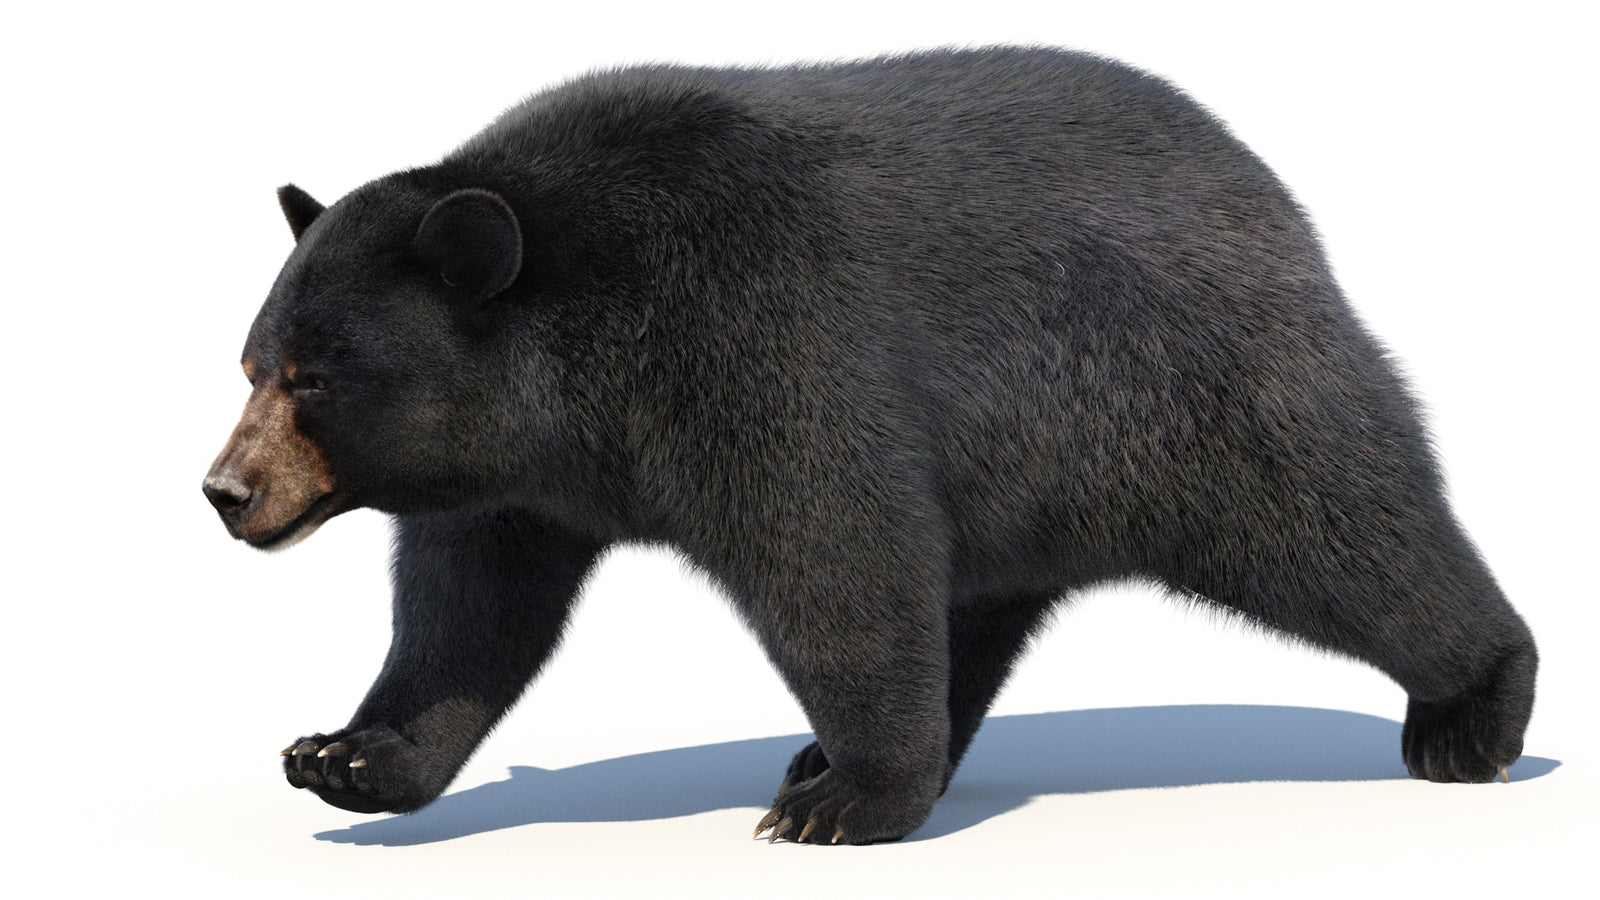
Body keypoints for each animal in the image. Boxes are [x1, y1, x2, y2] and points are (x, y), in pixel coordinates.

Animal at [203, 46, 1537, 845]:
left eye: (318, 378)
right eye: (253, 364)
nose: (226, 490)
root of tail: (1274, 197)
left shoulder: (750, 336)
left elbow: (833, 550)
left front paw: (847, 803)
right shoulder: (518, 474)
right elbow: (467, 609)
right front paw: (349, 755)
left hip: (1186, 398)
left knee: (1345, 535)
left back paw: (1471, 712)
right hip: (1032, 477)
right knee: (974, 609)